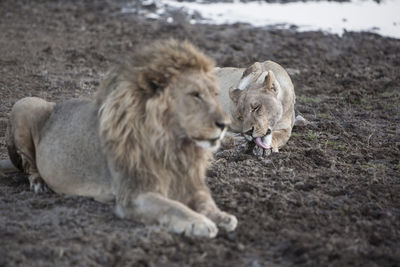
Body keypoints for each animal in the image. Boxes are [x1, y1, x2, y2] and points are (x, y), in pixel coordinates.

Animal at [1, 39, 236, 239]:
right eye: (195, 95)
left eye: (215, 94)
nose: (225, 124)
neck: (172, 145)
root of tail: (55, 103)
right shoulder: (132, 194)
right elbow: (174, 207)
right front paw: (200, 222)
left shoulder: (189, 183)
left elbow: (206, 201)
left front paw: (222, 217)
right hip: (26, 105)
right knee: (29, 165)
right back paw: (39, 183)